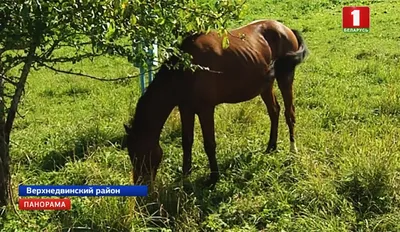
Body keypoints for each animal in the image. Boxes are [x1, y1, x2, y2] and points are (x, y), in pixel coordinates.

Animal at [123, 19, 308, 187]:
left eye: (139, 154)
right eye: (131, 154)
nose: (141, 185)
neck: (188, 69)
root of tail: (285, 28)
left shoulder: (206, 110)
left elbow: (209, 144)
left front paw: (213, 178)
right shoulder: (186, 108)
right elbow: (186, 142)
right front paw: (185, 175)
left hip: (285, 79)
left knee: (289, 113)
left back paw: (292, 150)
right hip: (265, 86)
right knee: (274, 111)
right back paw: (271, 147)